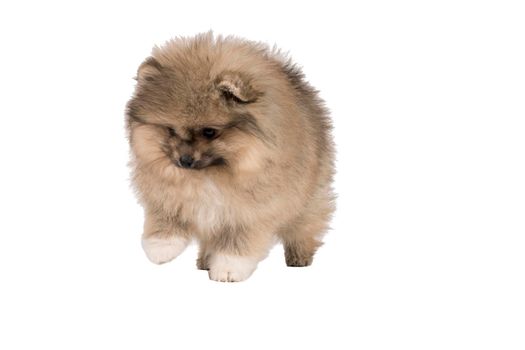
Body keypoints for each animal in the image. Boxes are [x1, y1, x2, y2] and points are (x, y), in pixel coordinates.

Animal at [125, 32, 334, 282]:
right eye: (171, 130)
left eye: (209, 131)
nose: (184, 161)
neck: (211, 174)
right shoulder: (167, 193)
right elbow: (165, 216)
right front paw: (161, 247)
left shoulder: (251, 210)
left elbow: (237, 243)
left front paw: (228, 268)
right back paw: (205, 261)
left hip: (309, 197)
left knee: (304, 225)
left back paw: (299, 256)